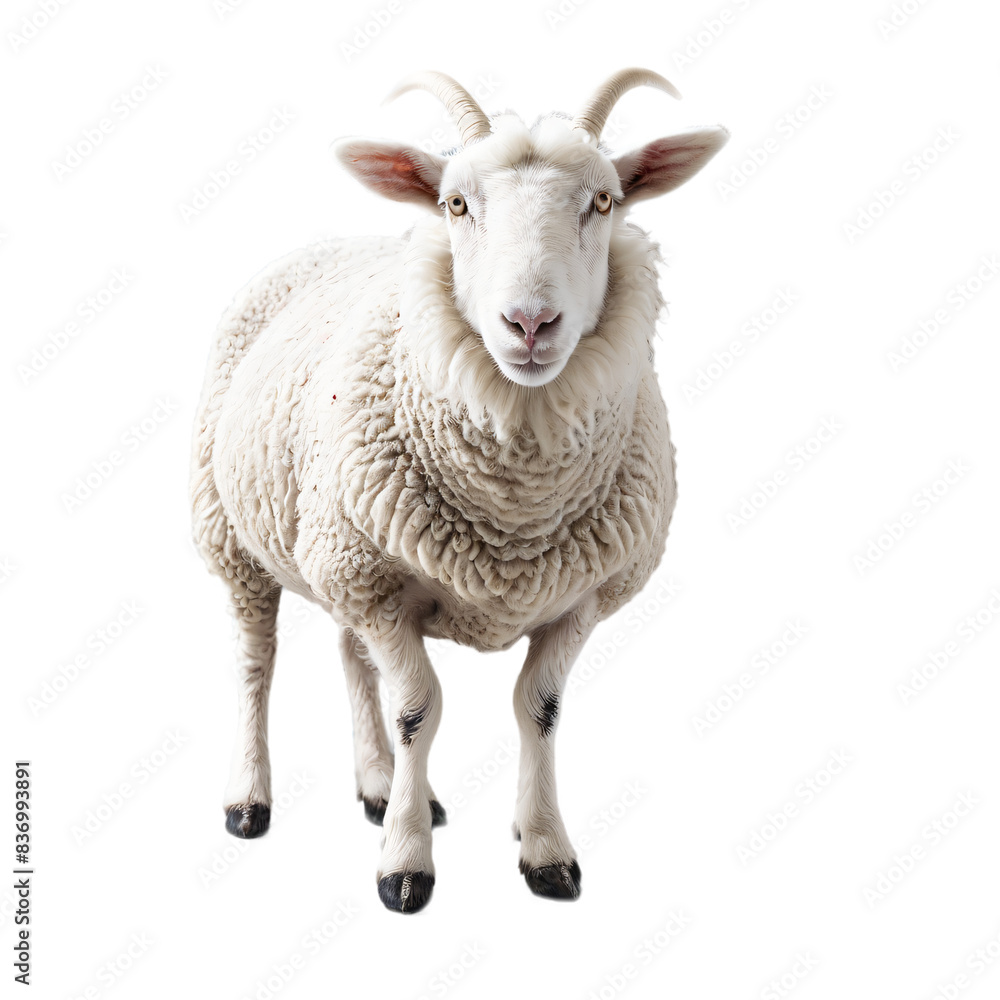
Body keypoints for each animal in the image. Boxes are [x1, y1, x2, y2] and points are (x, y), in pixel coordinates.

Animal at [190, 68, 728, 913]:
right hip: (239, 536)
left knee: (349, 655)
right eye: (454, 203)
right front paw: (405, 863)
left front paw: (544, 848)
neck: (516, 509)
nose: (530, 323)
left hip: (336, 551)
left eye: (604, 200)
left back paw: (376, 784)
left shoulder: (582, 595)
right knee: (256, 661)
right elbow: (419, 709)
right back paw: (250, 798)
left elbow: (539, 710)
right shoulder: (378, 586)